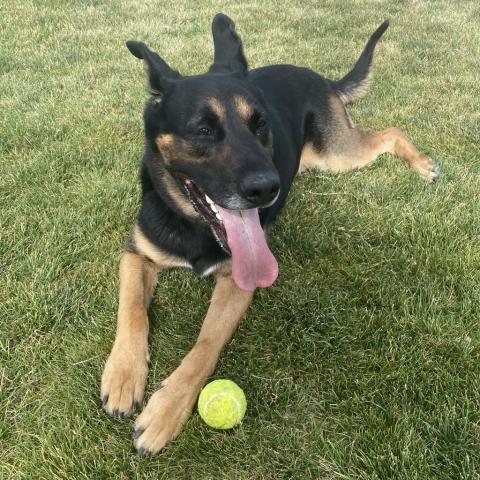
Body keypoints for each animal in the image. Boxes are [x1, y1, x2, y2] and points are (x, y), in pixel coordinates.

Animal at [100, 12, 438, 454]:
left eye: (259, 124)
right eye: (203, 131)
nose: (267, 189)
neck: (192, 225)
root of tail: (320, 77)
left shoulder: (236, 284)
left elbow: (204, 346)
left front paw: (166, 410)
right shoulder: (135, 254)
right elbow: (132, 311)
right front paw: (123, 376)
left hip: (338, 155)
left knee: (392, 132)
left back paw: (422, 164)